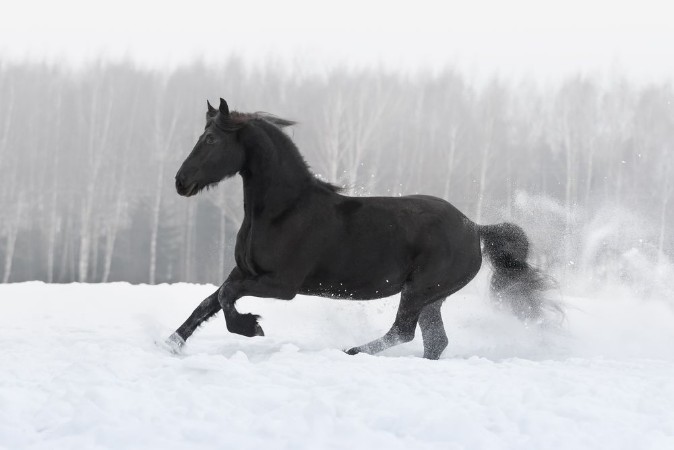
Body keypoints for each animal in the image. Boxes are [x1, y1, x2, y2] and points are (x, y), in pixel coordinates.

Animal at [165, 98, 556, 359]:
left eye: (211, 139)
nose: (181, 182)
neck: (283, 210)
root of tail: (475, 228)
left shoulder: (281, 284)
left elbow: (227, 298)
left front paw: (251, 326)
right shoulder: (244, 271)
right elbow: (210, 300)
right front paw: (171, 342)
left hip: (420, 290)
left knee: (403, 332)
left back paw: (350, 351)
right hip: (432, 297)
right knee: (435, 341)